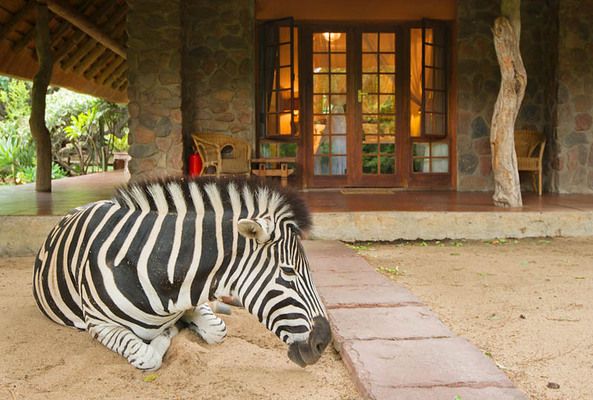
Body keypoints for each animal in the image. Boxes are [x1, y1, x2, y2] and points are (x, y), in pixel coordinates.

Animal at [32, 177, 330, 370]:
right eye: (289, 271)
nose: (324, 342)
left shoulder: (195, 297)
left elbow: (217, 330)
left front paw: (179, 328)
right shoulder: (99, 324)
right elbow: (146, 356)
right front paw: (168, 334)